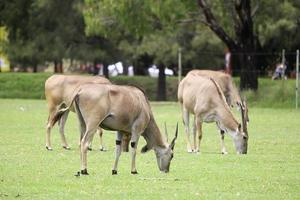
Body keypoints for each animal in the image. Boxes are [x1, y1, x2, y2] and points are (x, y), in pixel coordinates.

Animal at [50, 83, 178, 175]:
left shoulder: (120, 131)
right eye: (172, 155)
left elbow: (118, 150)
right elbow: (133, 149)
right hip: (93, 124)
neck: (142, 102)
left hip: (82, 124)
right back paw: (84, 170)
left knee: (80, 142)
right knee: (84, 143)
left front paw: (114, 170)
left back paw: (80, 169)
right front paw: (134, 170)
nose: (166, 170)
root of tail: (79, 91)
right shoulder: (136, 130)